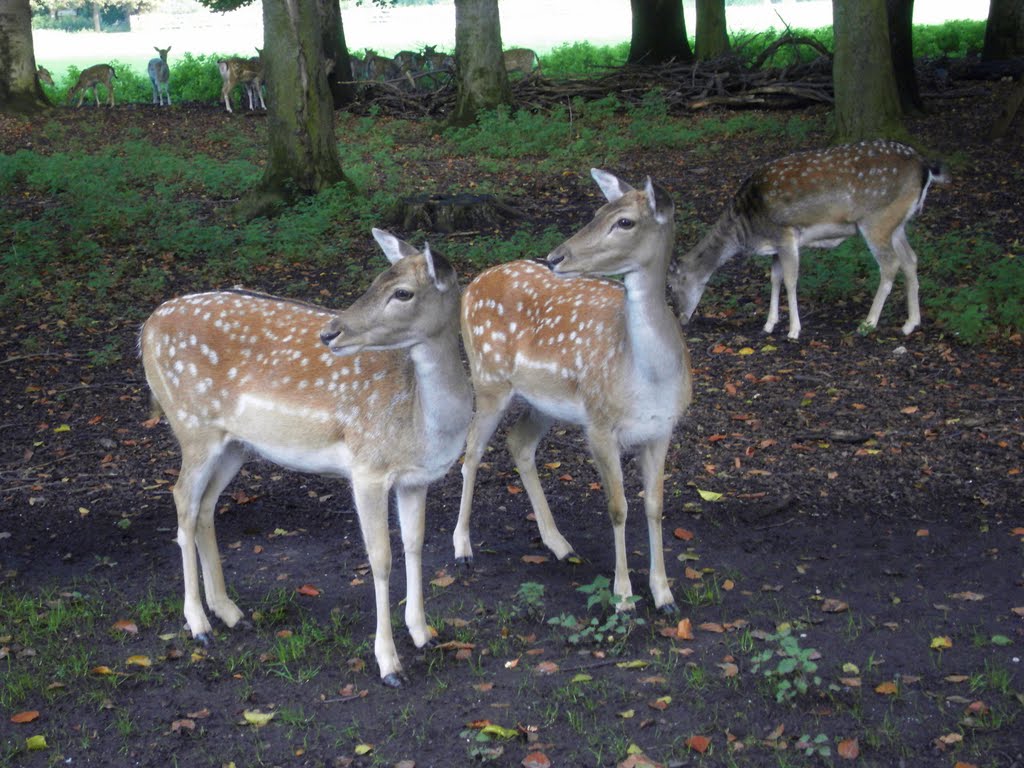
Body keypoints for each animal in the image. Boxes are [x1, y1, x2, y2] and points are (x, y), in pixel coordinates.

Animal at [140, 230, 471, 692]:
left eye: (402, 292)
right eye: (375, 280)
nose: (331, 332)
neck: (423, 422)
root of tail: (146, 328)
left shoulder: (415, 479)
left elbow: (415, 544)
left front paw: (424, 633)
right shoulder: (367, 467)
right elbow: (381, 559)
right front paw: (388, 663)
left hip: (234, 445)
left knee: (204, 507)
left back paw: (230, 611)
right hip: (193, 426)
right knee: (181, 500)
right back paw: (198, 624)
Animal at [454, 167, 688, 614]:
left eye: (624, 221)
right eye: (597, 212)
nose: (556, 257)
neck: (647, 379)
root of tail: (470, 284)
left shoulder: (662, 429)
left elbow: (655, 506)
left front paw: (664, 594)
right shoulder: (598, 425)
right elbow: (618, 507)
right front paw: (624, 597)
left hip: (543, 402)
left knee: (518, 443)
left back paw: (560, 544)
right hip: (488, 378)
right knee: (472, 449)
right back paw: (463, 548)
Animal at [671, 140, 950, 337]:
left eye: (673, 286)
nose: (681, 318)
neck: (746, 228)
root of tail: (925, 167)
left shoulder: (786, 234)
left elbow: (791, 281)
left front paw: (794, 330)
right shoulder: (775, 245)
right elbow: (774, 278)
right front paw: (769, 324)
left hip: (876, 220)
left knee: (890, 264)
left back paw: (868, 323)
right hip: (897, 224)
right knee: (911, 259)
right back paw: (910, 323)